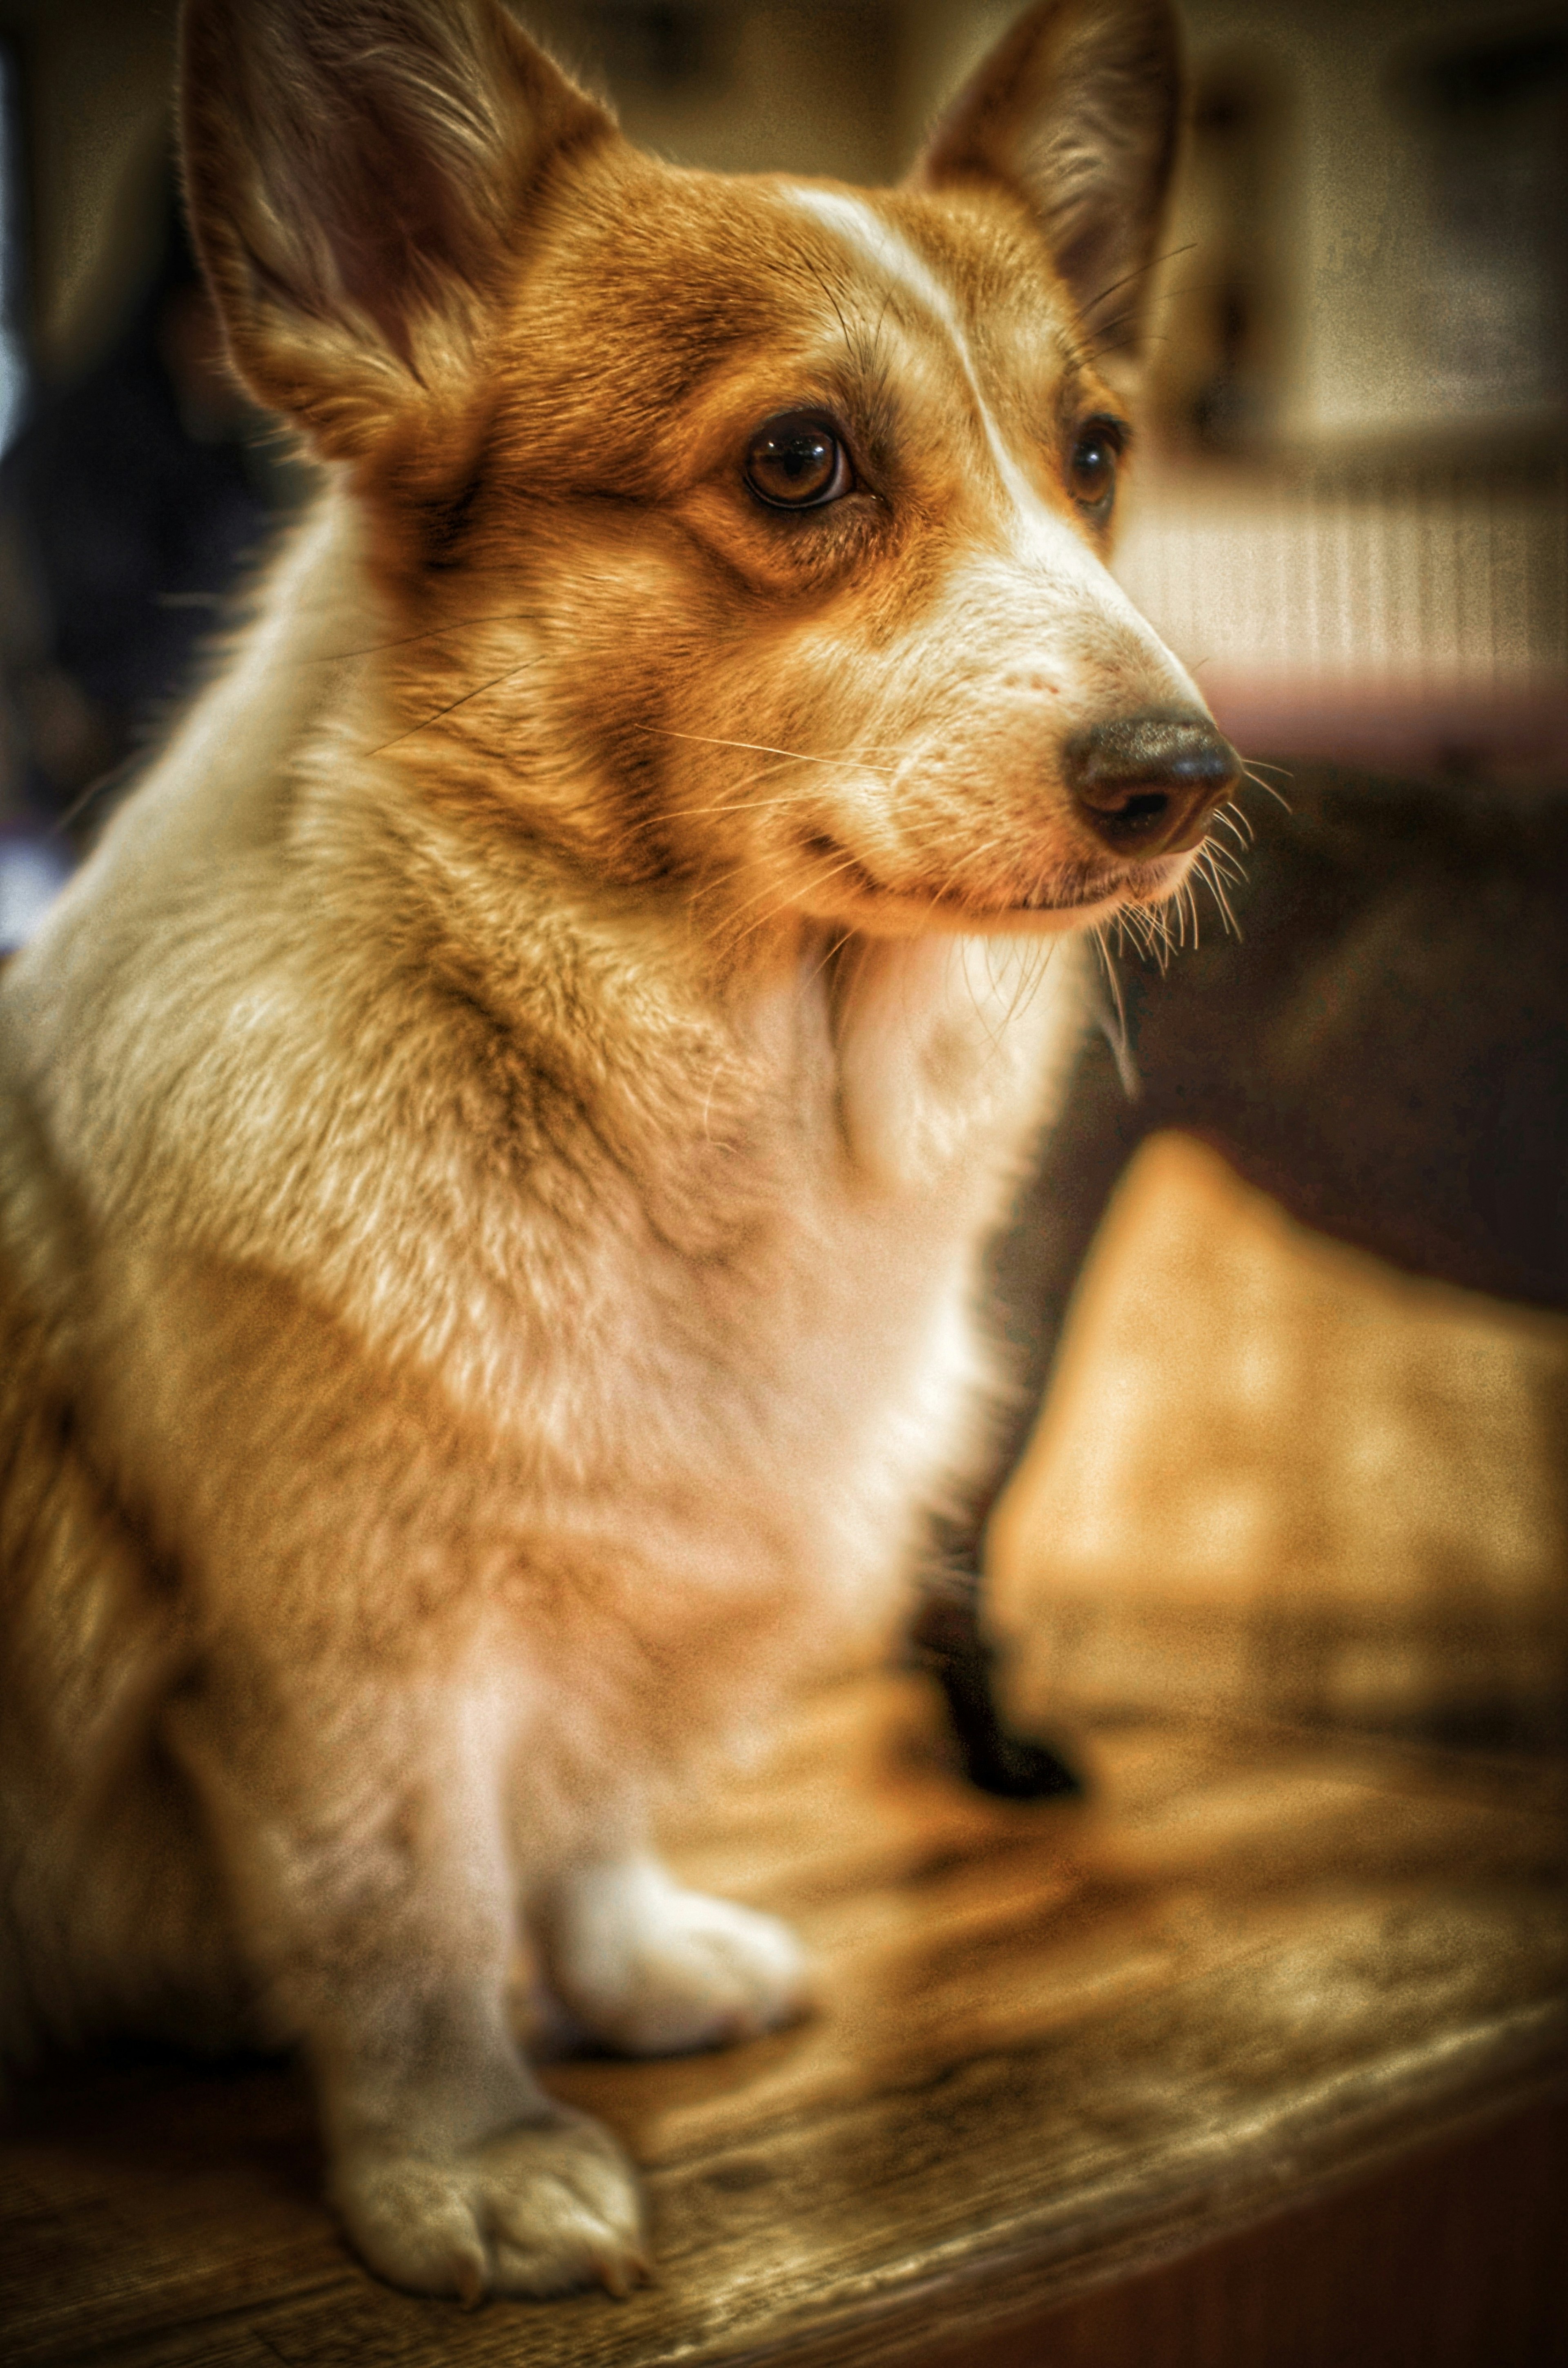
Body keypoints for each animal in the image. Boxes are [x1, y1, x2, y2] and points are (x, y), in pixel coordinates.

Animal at [0, 0, 1241, 2301]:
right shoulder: (343, 1669)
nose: (1189, 779)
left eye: (1099, 453)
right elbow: (408, 1924)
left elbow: (579, 1822)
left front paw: (635, 1970)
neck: (724, 1103)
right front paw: (472, 2162)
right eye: (798, 464)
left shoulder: (607, 1624)